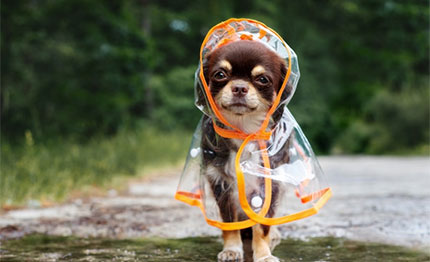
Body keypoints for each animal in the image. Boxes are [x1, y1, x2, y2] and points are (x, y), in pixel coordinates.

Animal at [201, 40, 292, 262]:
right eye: (220, 75)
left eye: (262, 79)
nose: (240, 87)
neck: (243, 131)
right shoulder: (221, 183)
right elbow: (230, 224)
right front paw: (232, 250)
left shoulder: (269, 184)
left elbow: (263, 225)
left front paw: (264, 255)